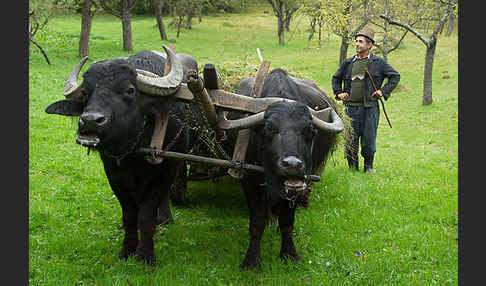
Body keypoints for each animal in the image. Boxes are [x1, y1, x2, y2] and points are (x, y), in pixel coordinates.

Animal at [44, 46, 198, 264]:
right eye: (86, 92)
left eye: (130, 90)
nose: (90, 121)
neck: (134, 149)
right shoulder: (114, 175)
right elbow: (130, 213)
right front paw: (127, 250)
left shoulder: (166, 171)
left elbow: (146, 213)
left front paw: (145, 255)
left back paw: (165, 217)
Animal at [227, 68, 344, 270]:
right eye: (268, 129)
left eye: (310, 130)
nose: (292, 164)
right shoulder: (248, 180)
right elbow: (257, 222)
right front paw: (251, 260)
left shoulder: (297, 186)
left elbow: (287, 222)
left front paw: (289, 254)